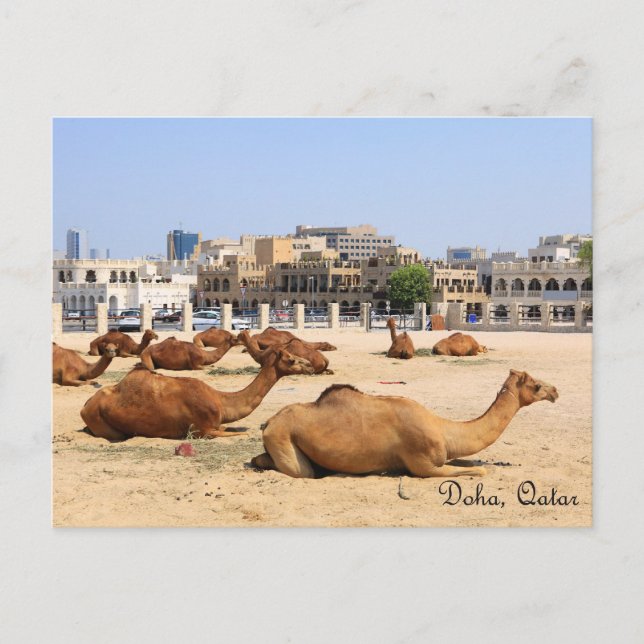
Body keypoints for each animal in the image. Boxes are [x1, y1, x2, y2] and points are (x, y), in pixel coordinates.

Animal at [80, 345, 316, 441]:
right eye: (291, 359)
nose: (310, 365)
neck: (220, 400)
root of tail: (85, 406)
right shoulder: (203, 430)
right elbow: (237, 433)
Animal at [251, 369, 558, 478]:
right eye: (536, 384)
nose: (555, 391)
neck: (443, 429)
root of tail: (268, 422)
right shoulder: (421, 464)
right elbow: (476, 471)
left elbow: (470, 463)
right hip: (284, 438)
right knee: (300, 471)